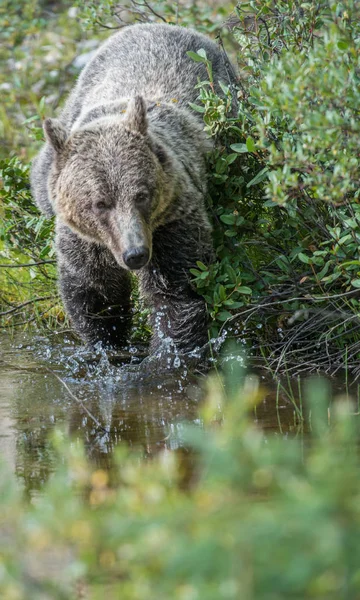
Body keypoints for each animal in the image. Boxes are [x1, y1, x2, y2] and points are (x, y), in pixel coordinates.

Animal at [31, 24, 238, 352]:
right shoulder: (85, 239)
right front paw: (106, 344)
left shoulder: (172, 221)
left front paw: (168, 351)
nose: (136, 254)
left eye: (142, 195)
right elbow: (95, 290)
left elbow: (178, 291)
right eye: (99, 203)